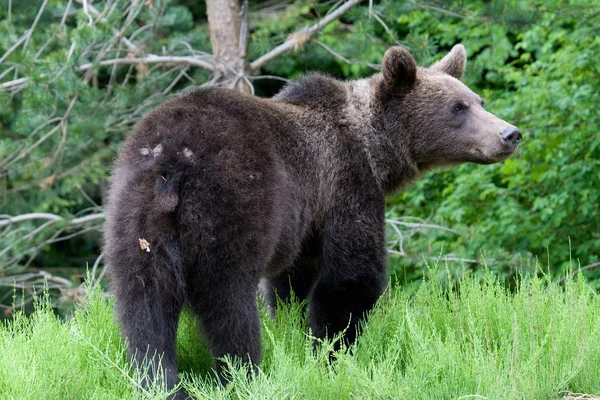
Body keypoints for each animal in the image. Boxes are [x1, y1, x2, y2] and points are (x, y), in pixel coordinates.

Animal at [103, 44, 520, 396]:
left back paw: (161, 383)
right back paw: (244, 375)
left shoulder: (304, 223)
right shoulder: (345, 187)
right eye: (458, 107)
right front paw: (332, 353)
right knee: (227, 301)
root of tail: (173, 161)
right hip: (231, 205)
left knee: (144, 304)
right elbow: (351, 278)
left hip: (135, 215)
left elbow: (292, 282)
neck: (376, 151)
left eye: (478, 100)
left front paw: (297, 330)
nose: (509, 133)